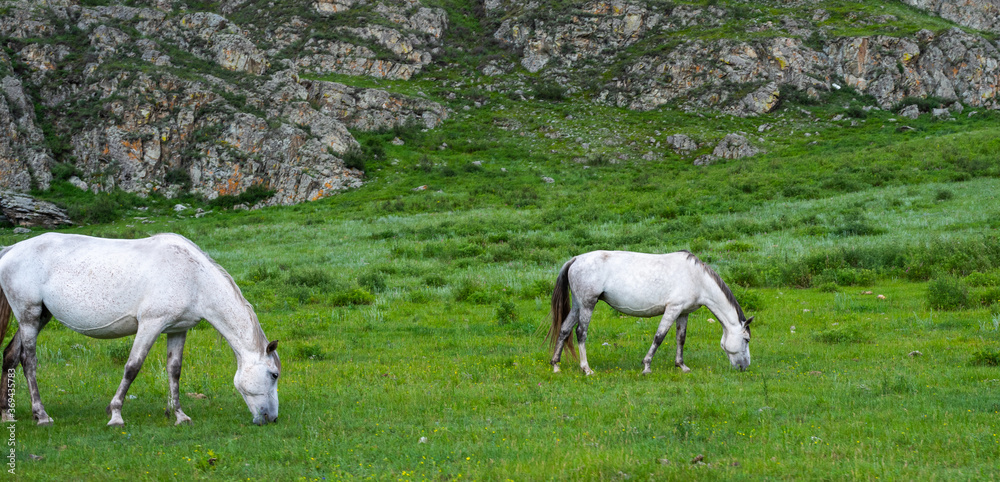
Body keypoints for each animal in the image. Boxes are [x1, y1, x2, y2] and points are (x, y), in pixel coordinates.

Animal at [0, 232, 280, 426]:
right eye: (274, 374)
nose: (272, 418)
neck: (194, 277)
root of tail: (11, 249)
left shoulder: (177, 330)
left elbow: (174, 370)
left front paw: (180, 415)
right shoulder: (150, 324)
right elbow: (132, 367)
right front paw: (115, 414)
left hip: (40, 317)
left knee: (10, 355)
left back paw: (6, 413)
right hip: (28, 316)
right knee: (28, 360)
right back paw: (42, 415)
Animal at [547, 250, 753, 375]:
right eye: (746, 339)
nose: (744, 366)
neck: (697, 278)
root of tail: (576, 259)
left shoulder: (683, 313)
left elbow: (681, 338)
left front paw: (682, 366)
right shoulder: (673, 309)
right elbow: (659, 337)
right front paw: (646, 366)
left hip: (577, 305)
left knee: (564, 330)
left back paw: (556, 365)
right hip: (587, 305)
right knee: (580, 333)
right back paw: (586, 369)